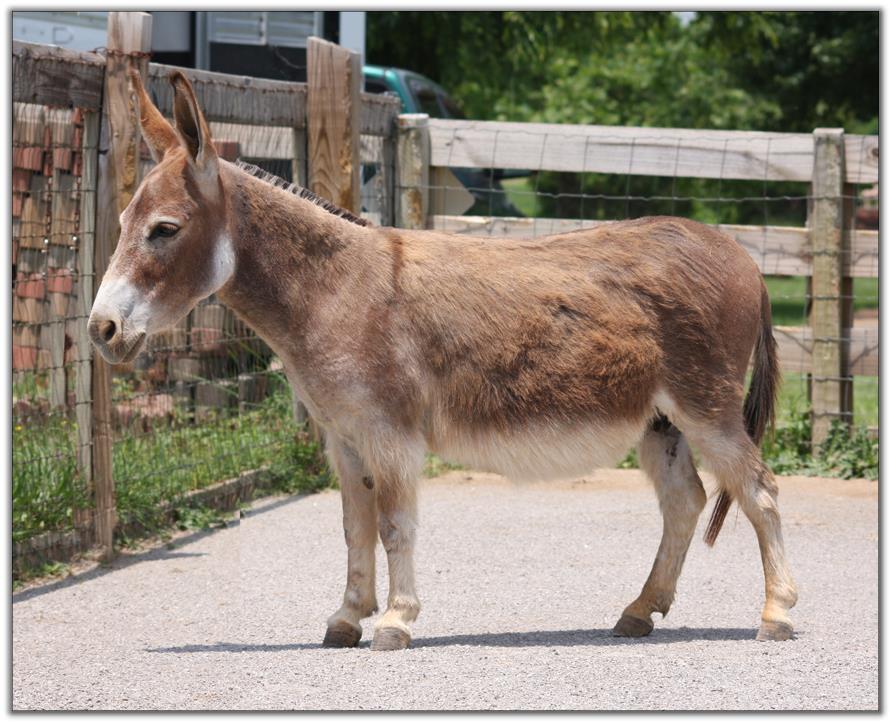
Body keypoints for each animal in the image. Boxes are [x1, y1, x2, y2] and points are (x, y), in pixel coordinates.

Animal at [88, 69, 797, 651]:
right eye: (120, 222)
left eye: (165, 230)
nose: (101, 330)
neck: (332, 290)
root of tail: (742, 256)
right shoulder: (343, 438)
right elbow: (353, 527)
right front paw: (346, 618)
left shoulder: (390, 433)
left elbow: (394, 525)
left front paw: (396, 621)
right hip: (661, 419)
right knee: (684, 501)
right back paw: (640, 610)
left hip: (705, 405)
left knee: (759, 490)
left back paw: (776, 614)